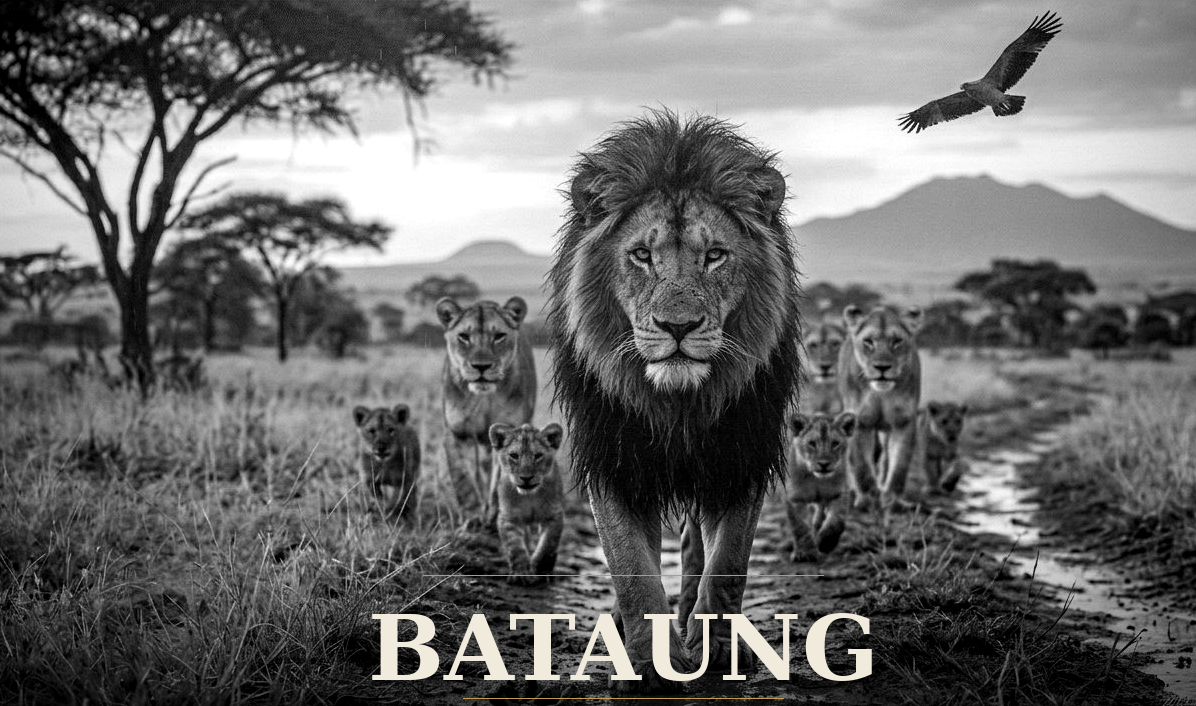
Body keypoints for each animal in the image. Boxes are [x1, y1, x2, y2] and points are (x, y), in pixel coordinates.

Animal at [436, 296, 537, 520]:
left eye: (499, 336)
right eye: (464, 337)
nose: (481, 366)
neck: (484, 398)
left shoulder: (509, 433)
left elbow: (500, 476)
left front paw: (494, 514)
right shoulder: (457, 433)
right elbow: (463, 480)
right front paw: (472, 517)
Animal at [489, 422, 565, 586]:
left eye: (537, 455)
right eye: (514, 455)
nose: (526, 478)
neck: (529, 496)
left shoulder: (554, 516)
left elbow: (547, 545)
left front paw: (541, 571)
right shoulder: (509, 518)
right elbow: (515, 548)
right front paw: (521, 573)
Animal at [546, 110, 802, 693]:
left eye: (715, 256)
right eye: (642, 255)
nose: (678, 327)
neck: (677, 405)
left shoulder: (739, 457)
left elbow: (727, 565)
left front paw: (720, 654)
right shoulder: (614, 459)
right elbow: (632, 570)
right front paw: (648, 664)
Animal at [785, 412, 856, 562]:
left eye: (835, 443)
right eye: (812, 443)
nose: (824, 464)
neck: (816, 479)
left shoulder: (839, 494)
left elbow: (837, 521)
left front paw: (825, 544)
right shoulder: (795, 498)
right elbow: (800, 526)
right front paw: (805, 553)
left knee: (820, 517)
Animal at [838, 304, 923, 509]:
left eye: (897, 341)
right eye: (868, 342)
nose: (882, 367)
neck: (881, 394)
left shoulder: (903, 422)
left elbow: (899, 465)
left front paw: (893, 500)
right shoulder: (861, 422)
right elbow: (861, 465)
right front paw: (867, 499)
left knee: (885, 458)